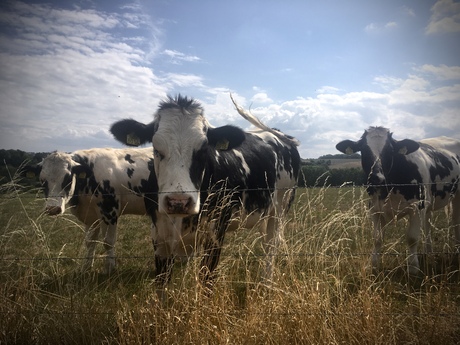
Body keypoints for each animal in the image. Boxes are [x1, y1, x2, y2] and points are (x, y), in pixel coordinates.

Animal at [22, 146, 155, 272]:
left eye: (68, 179)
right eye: (42, 180)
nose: (53, 208)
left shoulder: (109, 211)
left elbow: (108, 242)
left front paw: (109, 268)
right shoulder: (90, 216)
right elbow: (90, 242)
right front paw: (86, 267)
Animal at [109, 94, 300, 284]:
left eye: (203, 149)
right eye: (156, 148)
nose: (178, 202)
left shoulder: (215, 234)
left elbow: (206, 280)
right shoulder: (159, 236)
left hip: (280, 209)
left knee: (271, 245)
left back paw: (266, 282)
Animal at [334, 126, 460, 274]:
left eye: (390, 150)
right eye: (363, 149)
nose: (376, 177)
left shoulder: (417, 207)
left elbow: (412, 238)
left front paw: (413, 268)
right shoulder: (374, 209)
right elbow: (377, 238)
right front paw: (373, 265)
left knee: (455, 220)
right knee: (428, 224)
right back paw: (428, 252)